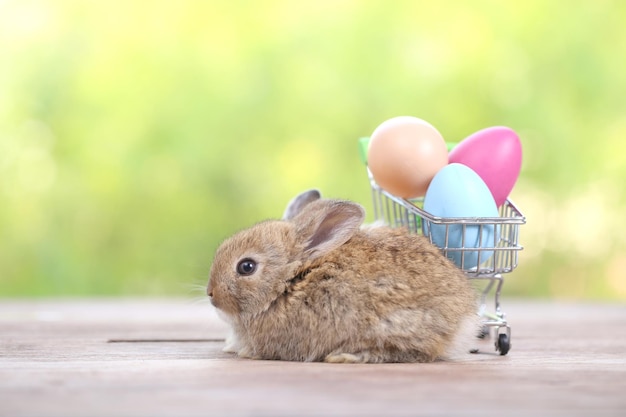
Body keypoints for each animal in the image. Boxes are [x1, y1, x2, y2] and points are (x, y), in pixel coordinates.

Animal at [207, 191, 476, 360]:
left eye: (247, 267)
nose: (211, 294)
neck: (288, 282)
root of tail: (463, 322)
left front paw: (245, 352)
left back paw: (347, 356)